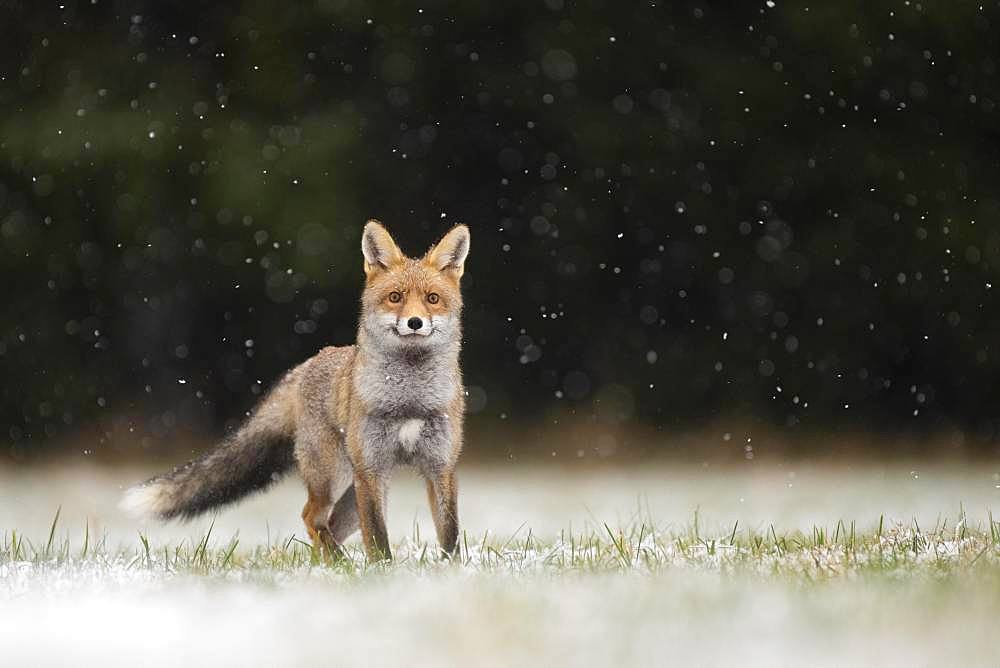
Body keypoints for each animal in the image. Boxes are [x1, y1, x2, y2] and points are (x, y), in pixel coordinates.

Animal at [123, 222, 470, 560]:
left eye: (432, 299)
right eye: (396, 297)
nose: (415, 322)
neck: (410, 401)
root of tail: (305, 365)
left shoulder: (441, 466)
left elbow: (450, 533)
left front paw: (449, 570)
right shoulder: (371, 470)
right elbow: (377, 539)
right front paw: (384, 571)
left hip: (356, 486)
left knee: (326, 525)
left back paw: (332, 565)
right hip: (337, 475)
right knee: (311, 517)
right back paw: (339, 564)